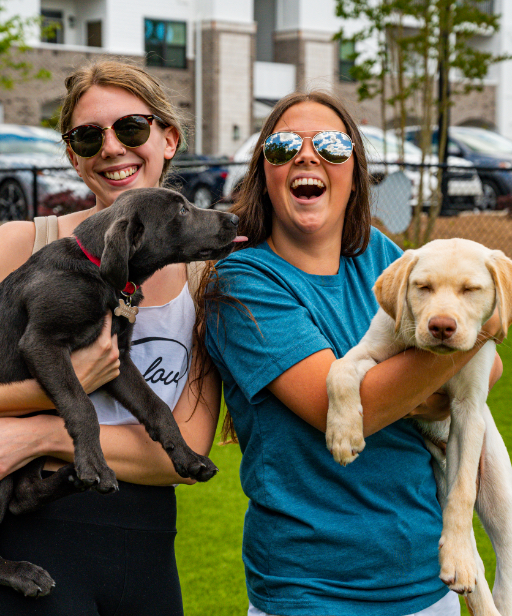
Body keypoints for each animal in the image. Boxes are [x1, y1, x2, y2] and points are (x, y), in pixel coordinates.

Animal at [0, 186, 240, 596]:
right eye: (181, 210)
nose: (235, 219)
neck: (96, 270)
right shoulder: (42, 343)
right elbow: (82, 406)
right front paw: (95, 465)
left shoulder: (119, 361)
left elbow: (157, 409)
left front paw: (188, 458)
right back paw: (21, 572)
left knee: (23, 495)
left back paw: (69, 478)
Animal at [326, 239, 512, 616]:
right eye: (422, 287)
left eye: (471, 290)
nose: (441, 326)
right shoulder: (369, 352)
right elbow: (339, 371)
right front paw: (342, 434)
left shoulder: (470, 407)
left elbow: (463, 492)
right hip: (442, 483)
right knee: (478, 567)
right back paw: (463, 566)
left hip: (500, 495)